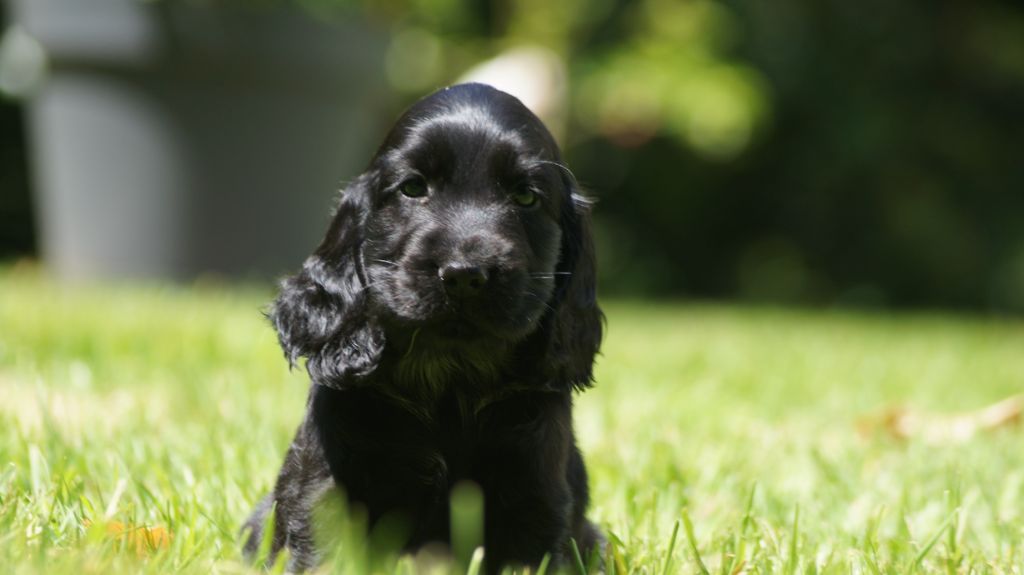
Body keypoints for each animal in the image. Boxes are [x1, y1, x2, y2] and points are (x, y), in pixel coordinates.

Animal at [243, 82, 602, 568]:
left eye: (527, 196)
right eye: (412, 188)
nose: (465, 274)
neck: (449, 379)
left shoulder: (536, 488)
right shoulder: (323, 481)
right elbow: (320, 549)